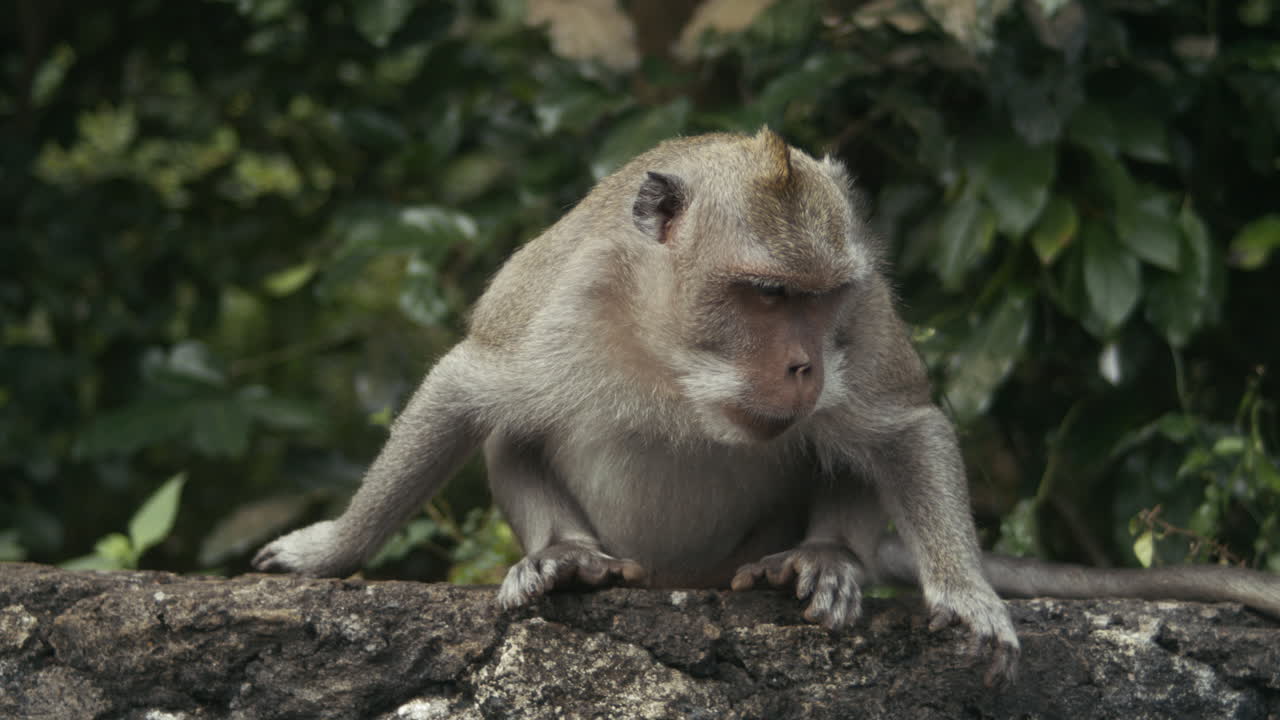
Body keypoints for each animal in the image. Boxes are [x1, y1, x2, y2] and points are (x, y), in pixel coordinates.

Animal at [254, 128, 1280, 687]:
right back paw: (566, 556)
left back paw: (824, 557)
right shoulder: (551, 302)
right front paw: (329, 551)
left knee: (855, 455)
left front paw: (966, 592)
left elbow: (905, 427)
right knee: (513, 432)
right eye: (766, 294)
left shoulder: (865, 322)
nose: (801, 366)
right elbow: (467, 386)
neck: (672, 349)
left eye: (819, 299)